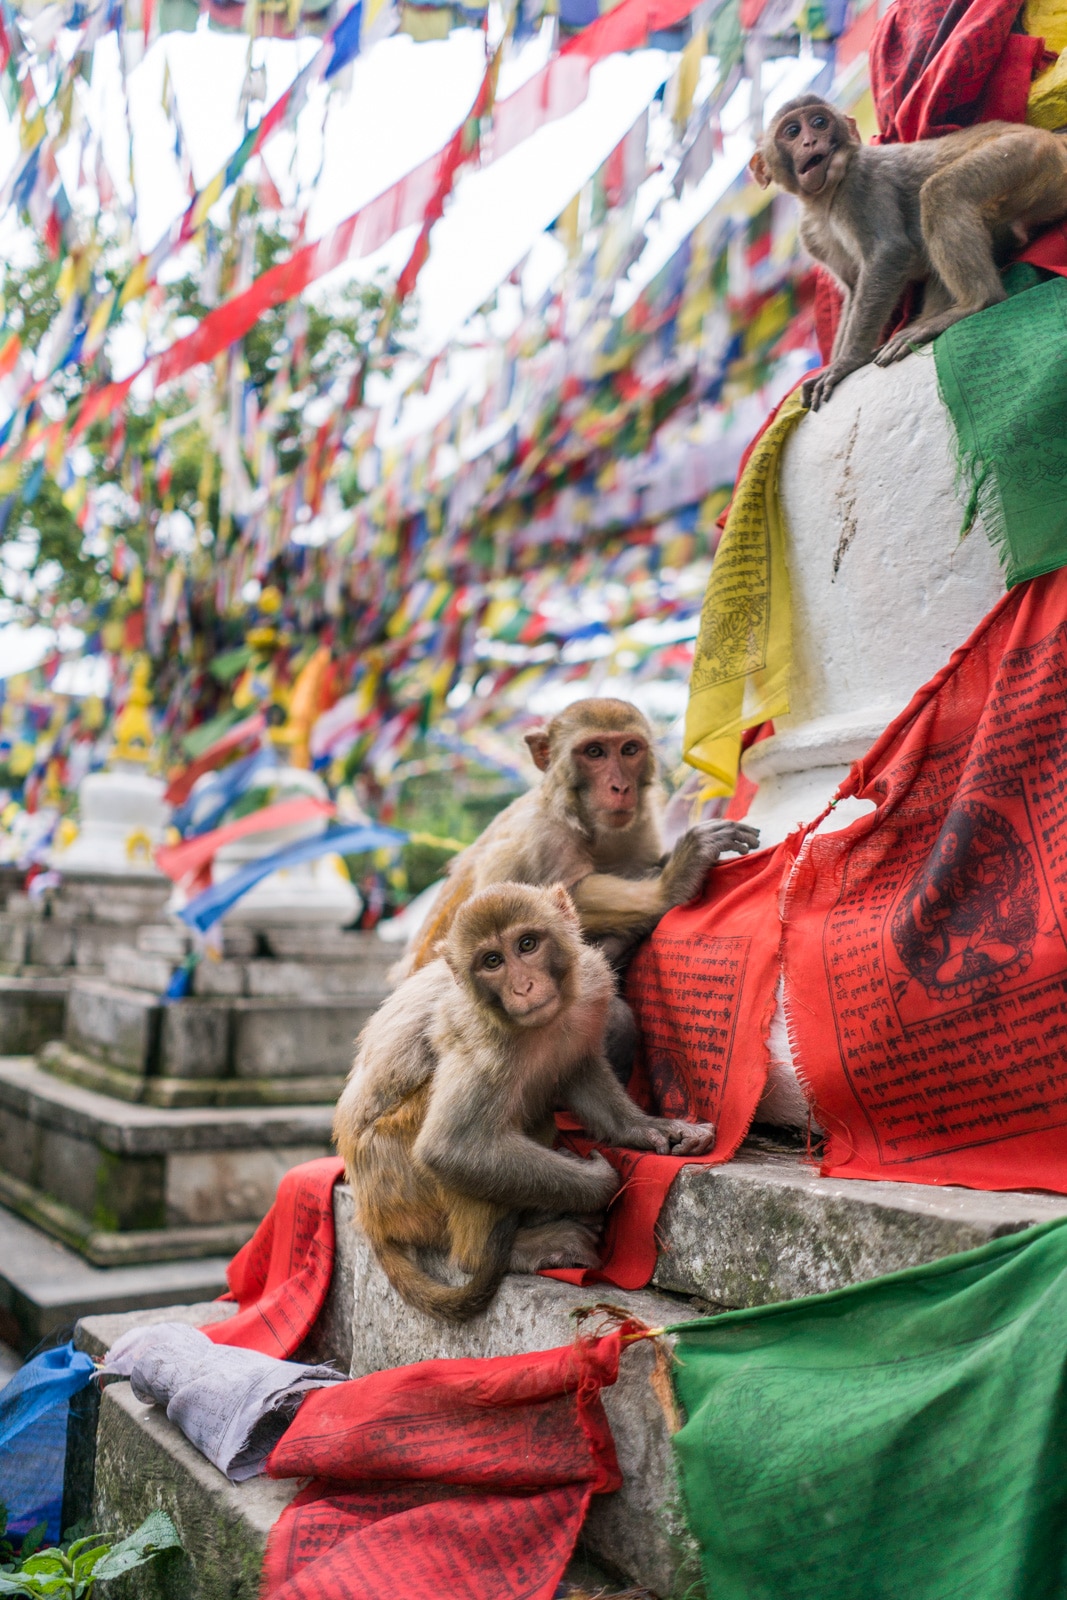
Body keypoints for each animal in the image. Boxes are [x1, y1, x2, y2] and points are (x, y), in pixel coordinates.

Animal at [335, 883, 716, 1318]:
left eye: (528, 944)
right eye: (492, 961)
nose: (523, 988)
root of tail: (369, 1214)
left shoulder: (591, 987)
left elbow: (578, 1070)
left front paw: (648, 1128)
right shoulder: (482, 1038)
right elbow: (452, 1147)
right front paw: (598, 1181)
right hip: (400, 1184)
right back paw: (513, 1248)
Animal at [403, 700, 758, 972]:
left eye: (629, 749)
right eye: (595, 752)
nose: (620, 787)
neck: (584, 822)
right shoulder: (535, 838)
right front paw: (672, 882)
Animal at [748, 93, 1067, 409]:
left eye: (818, 122)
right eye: (793, 131)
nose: (811, 141)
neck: (824, 199)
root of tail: (1053, 139)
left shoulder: (861, 185)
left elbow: (890, 252)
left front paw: (845, 362)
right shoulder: (811, 234)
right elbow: (853, 287)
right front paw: (834, 363)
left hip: (1029, 153)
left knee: (944, 190)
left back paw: (977, 302)